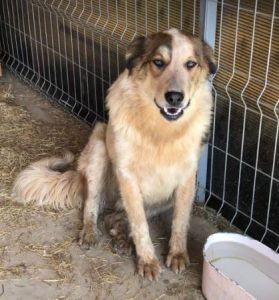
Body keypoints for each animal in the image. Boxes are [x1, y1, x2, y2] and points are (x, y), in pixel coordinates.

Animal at [13, 28, 217, 282]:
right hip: (99, 149)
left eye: (191, 64)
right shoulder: (127, 175)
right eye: (158, 62)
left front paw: (178, 254)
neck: (160, 131)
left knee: (115, 217)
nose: (175, 97)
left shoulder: (187, 176)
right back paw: (91, 233)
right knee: (92, 206)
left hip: (161, 198)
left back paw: (121, 238)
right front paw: (147, 261)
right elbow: (140, 226)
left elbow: (180, 221)